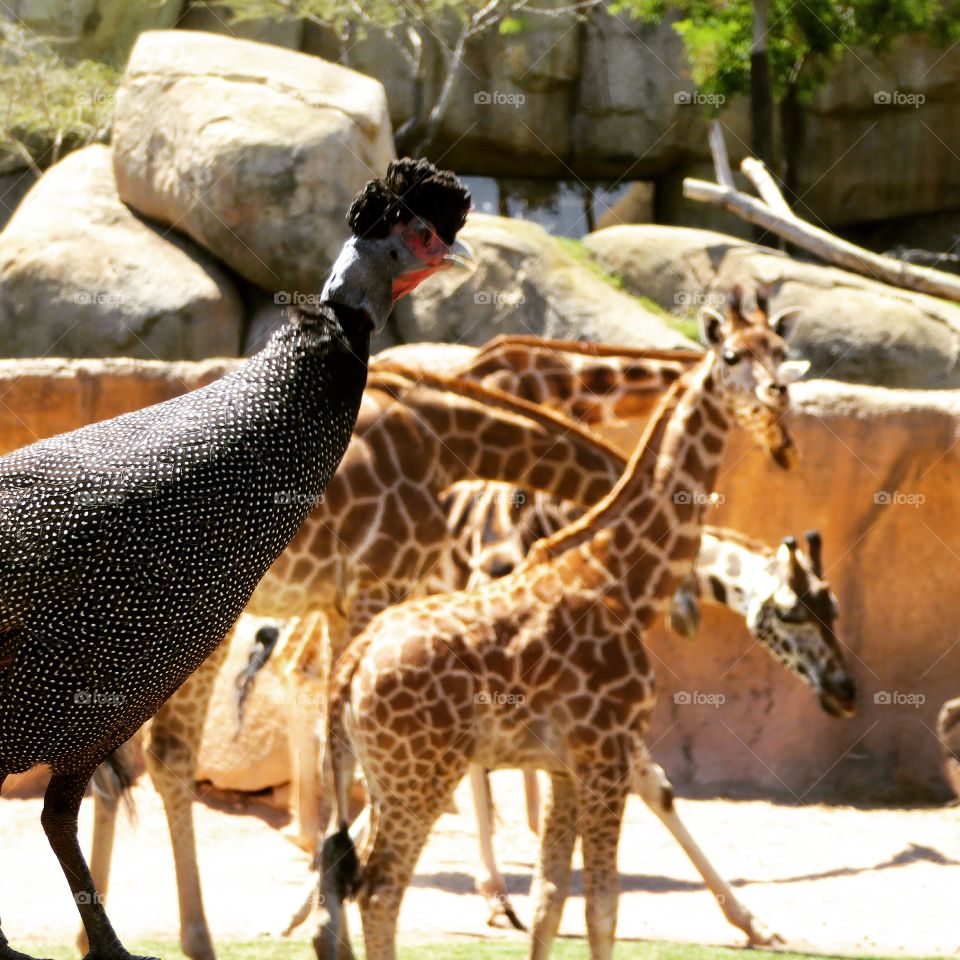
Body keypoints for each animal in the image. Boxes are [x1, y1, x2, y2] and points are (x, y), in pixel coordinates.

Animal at [319, 289, 809, 960]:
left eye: (781, 353)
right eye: (732, 355)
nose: (777, 401)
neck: (619, 579)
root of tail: (350, 673)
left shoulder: (565, 766)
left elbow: (551, 902)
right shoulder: (604, 750)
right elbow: (603, 905)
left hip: (384, 770)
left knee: (341, 890)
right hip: (419, 773)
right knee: (380, 891)